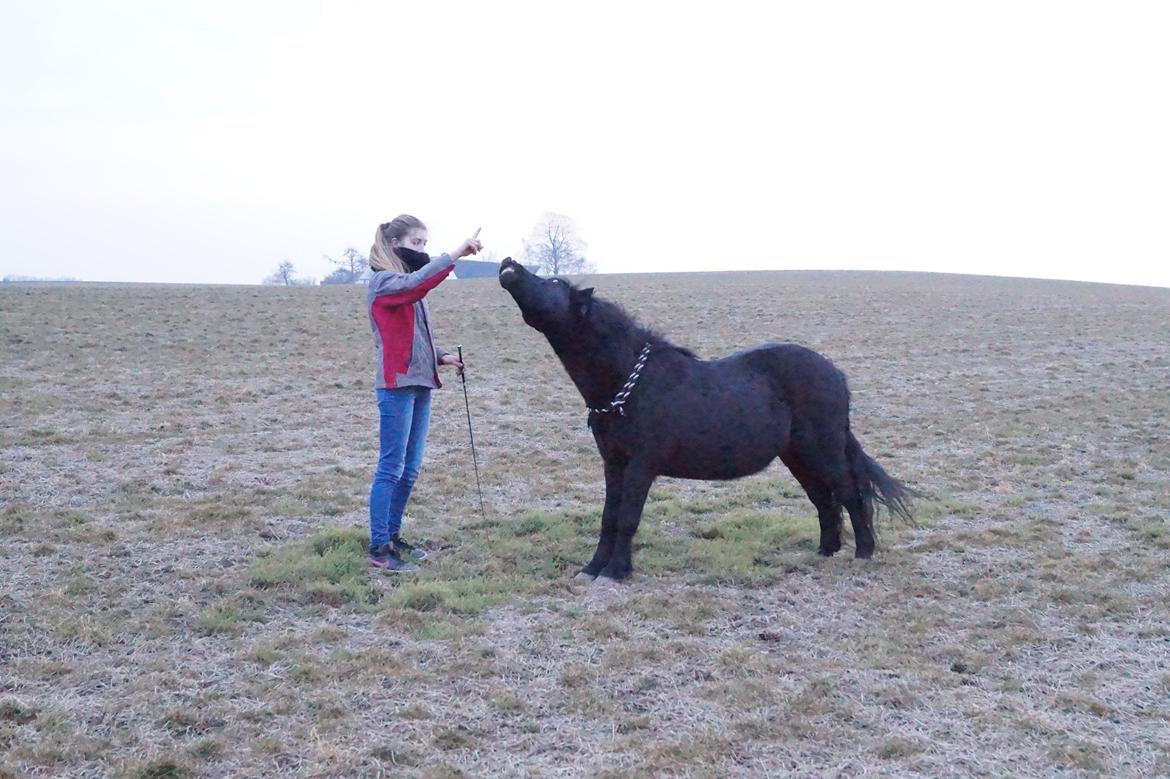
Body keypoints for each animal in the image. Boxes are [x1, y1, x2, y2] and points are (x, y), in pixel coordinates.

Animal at [496, 257, 912, 580]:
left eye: (554, 283)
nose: (508, 263)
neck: (630, 381)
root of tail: (836, 374)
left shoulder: (641, 465)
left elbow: (627, 517)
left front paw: (616, 572)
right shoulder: (613, 463)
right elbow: (608, 517)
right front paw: (593, 568)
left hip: (824, 452)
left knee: (849, 495)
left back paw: (863, 553)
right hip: (798, 457)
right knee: (824, 501)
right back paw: (825, 550)